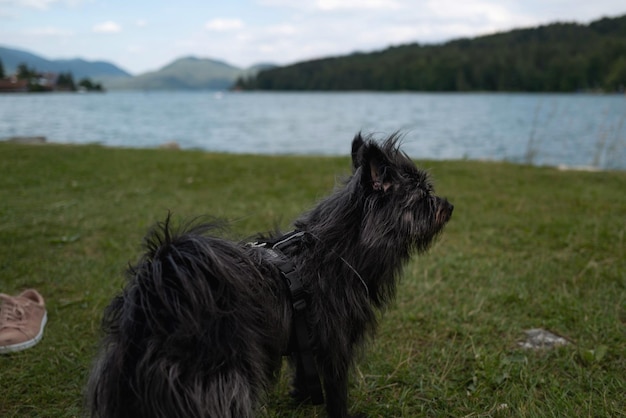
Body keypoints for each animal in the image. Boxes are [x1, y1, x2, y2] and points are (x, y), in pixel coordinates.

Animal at [85, 132, 450, 416]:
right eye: (423, 196)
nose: (449, 205)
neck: (336, 250)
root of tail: (160, 286)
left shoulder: (305, 341)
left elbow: (304, 376)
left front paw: (302, 400)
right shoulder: (334, 345)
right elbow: (337, 393)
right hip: (223, 378)